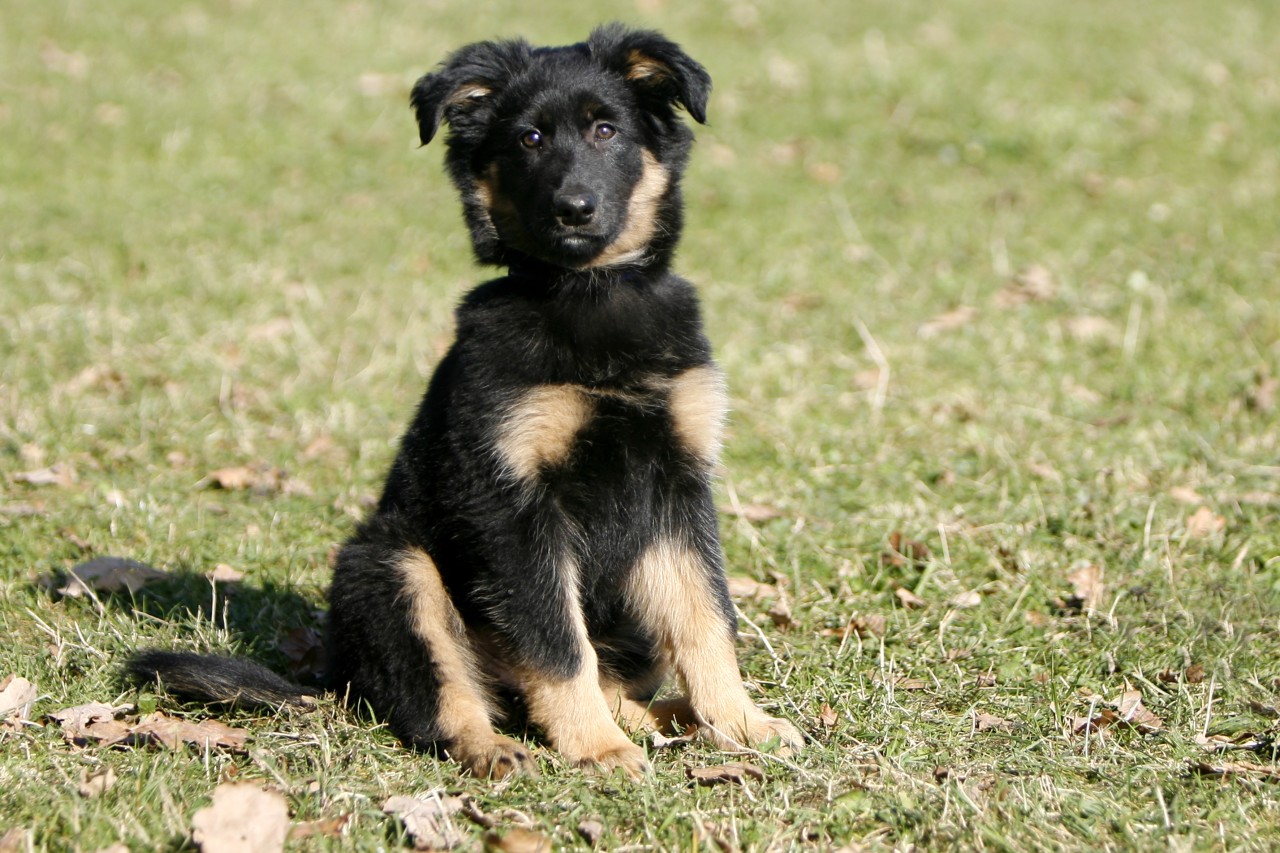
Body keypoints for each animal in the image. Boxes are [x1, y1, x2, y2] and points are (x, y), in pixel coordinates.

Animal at [129, 23, 798, 778]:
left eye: (606, 129)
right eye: (529, 139)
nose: (573, 209)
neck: (587, 296)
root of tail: (337, 676)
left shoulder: (678, 486)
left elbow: (707, 617)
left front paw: (741, 723)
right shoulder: (511, 503)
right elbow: (556, 641)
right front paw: (596, 748)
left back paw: (666, 718)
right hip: (393, 567)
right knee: (444, 704)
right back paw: (503, 746)